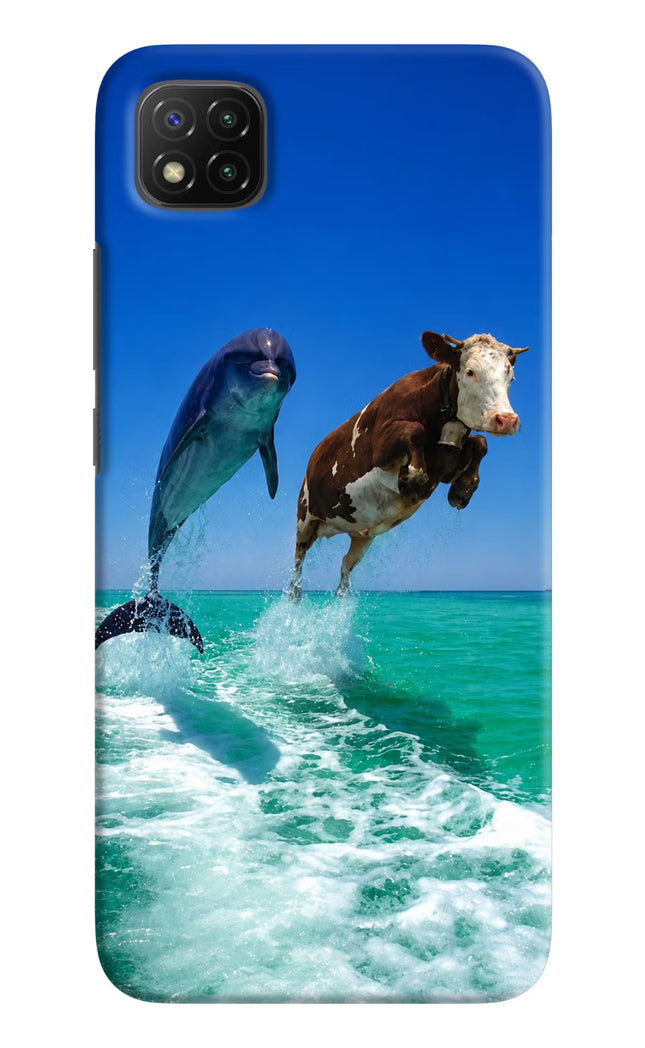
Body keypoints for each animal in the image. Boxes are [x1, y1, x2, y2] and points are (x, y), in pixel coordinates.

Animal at [288, 330, 528, 600]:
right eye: (470, 371)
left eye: (510, 375)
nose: (506, 420)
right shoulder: (380, 447)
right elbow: (415, 430)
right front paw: (413, 479)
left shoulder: (446, 465)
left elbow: (480, 442)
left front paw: (463, 489)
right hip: (304, 517)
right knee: (298, 561)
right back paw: (295, 594)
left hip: (361, 535)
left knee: (345, 566)